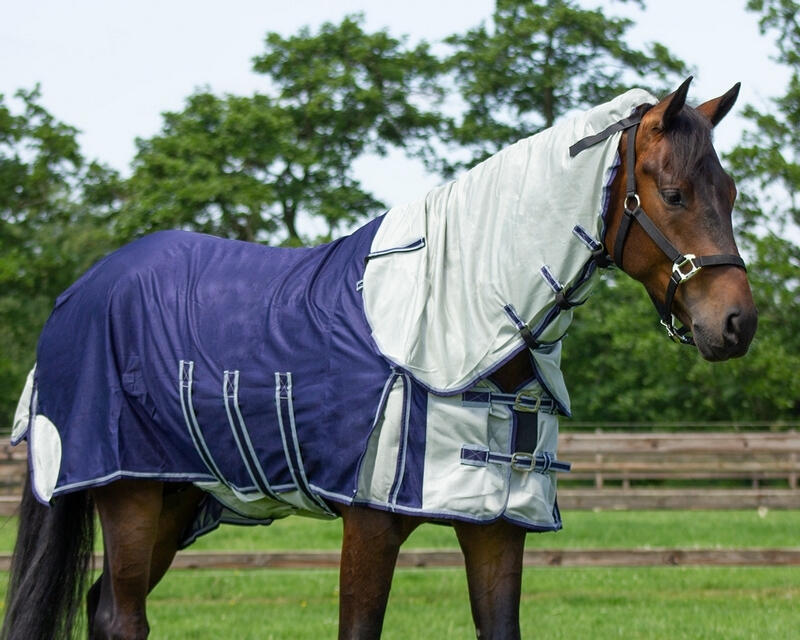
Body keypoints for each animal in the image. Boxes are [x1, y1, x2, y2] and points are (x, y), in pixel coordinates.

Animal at [2, 77, 756, 640]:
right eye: (674, 193)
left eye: (730, 193)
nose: (737, 323)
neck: (461, 316)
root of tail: (80, 292)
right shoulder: (369, 526)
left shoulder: (496, 526)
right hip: (128, 494)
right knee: (122, 617)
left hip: (177, 494)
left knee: (106, 608)